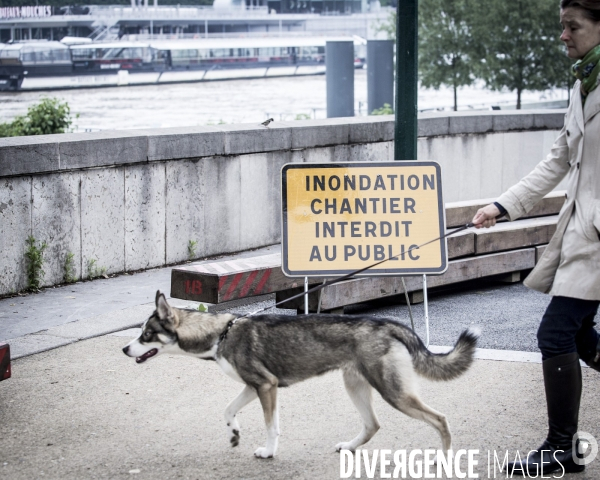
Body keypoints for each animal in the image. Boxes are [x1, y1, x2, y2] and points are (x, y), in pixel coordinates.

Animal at [123, 290, 478, 460]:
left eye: (146, 334)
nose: (125, 349)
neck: (222, 332)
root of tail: (389, 325)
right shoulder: (254, 386)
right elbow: (227, 410)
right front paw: (234, 433)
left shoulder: (266, 387)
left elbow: (271, 427)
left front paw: (268, 452)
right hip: (356, 385)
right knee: (372, 425)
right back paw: (350, 447)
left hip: (395, 393)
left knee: (440, 419)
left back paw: (444, 459)